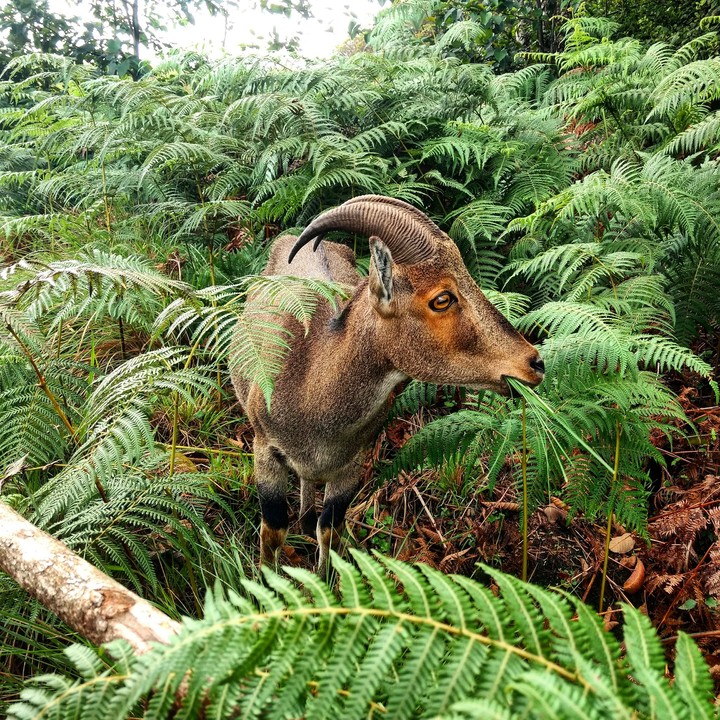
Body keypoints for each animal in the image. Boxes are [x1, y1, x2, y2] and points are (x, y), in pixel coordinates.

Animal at [231, 195, 544, 572]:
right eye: (442, 299)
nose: (534, 363)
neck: (311, 386)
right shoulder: (265, 449)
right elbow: (273, 532)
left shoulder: (351, 465)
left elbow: (329, 531)